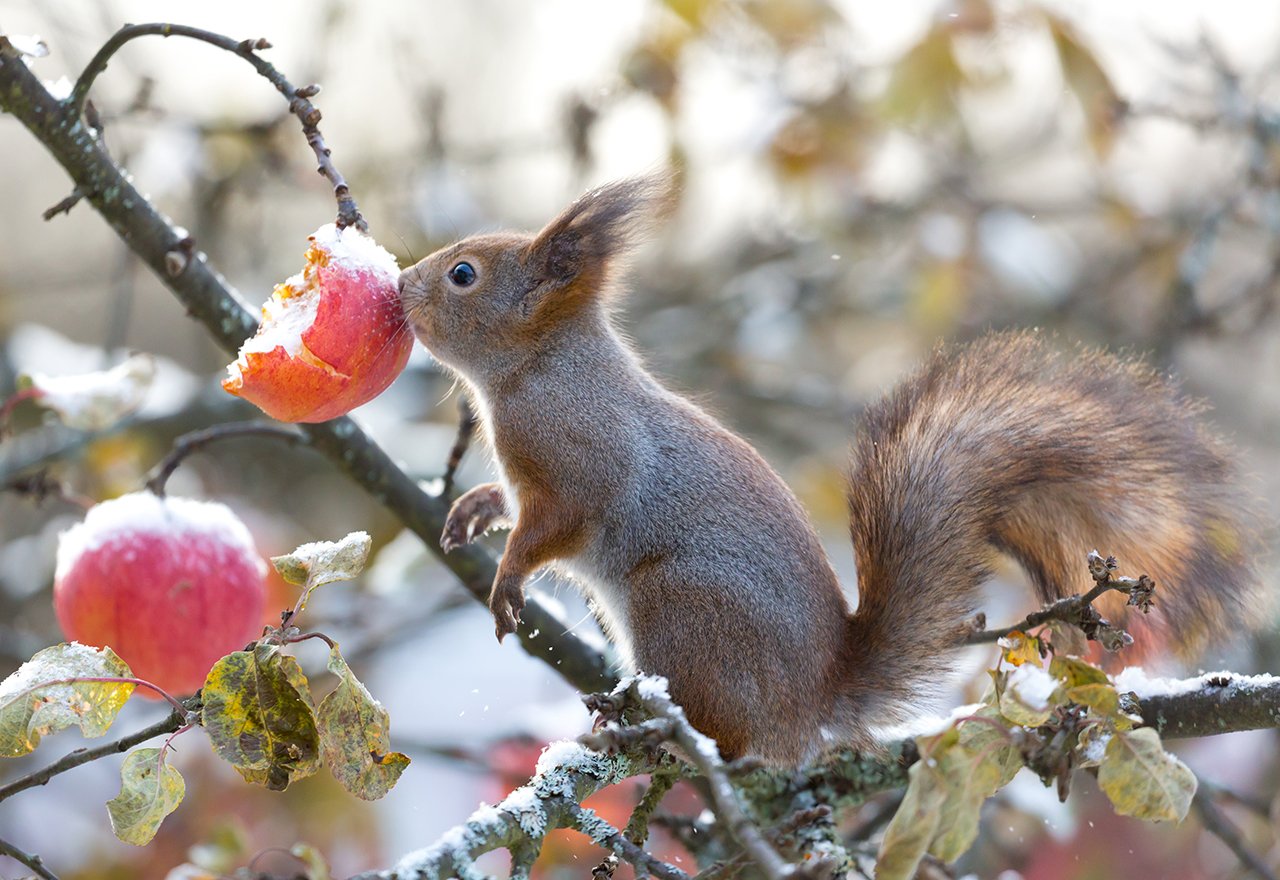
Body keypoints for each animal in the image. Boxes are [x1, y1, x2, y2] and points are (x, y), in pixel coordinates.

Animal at [399, 173, 1259, 762]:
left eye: (464, 274)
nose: (401, 284)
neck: (539, 369)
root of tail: (813, 701)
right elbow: (512, 504)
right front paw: (476, 508)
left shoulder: (581, 459)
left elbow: (559, 524)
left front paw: (508, 578)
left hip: (681, 611)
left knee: (729, 739)